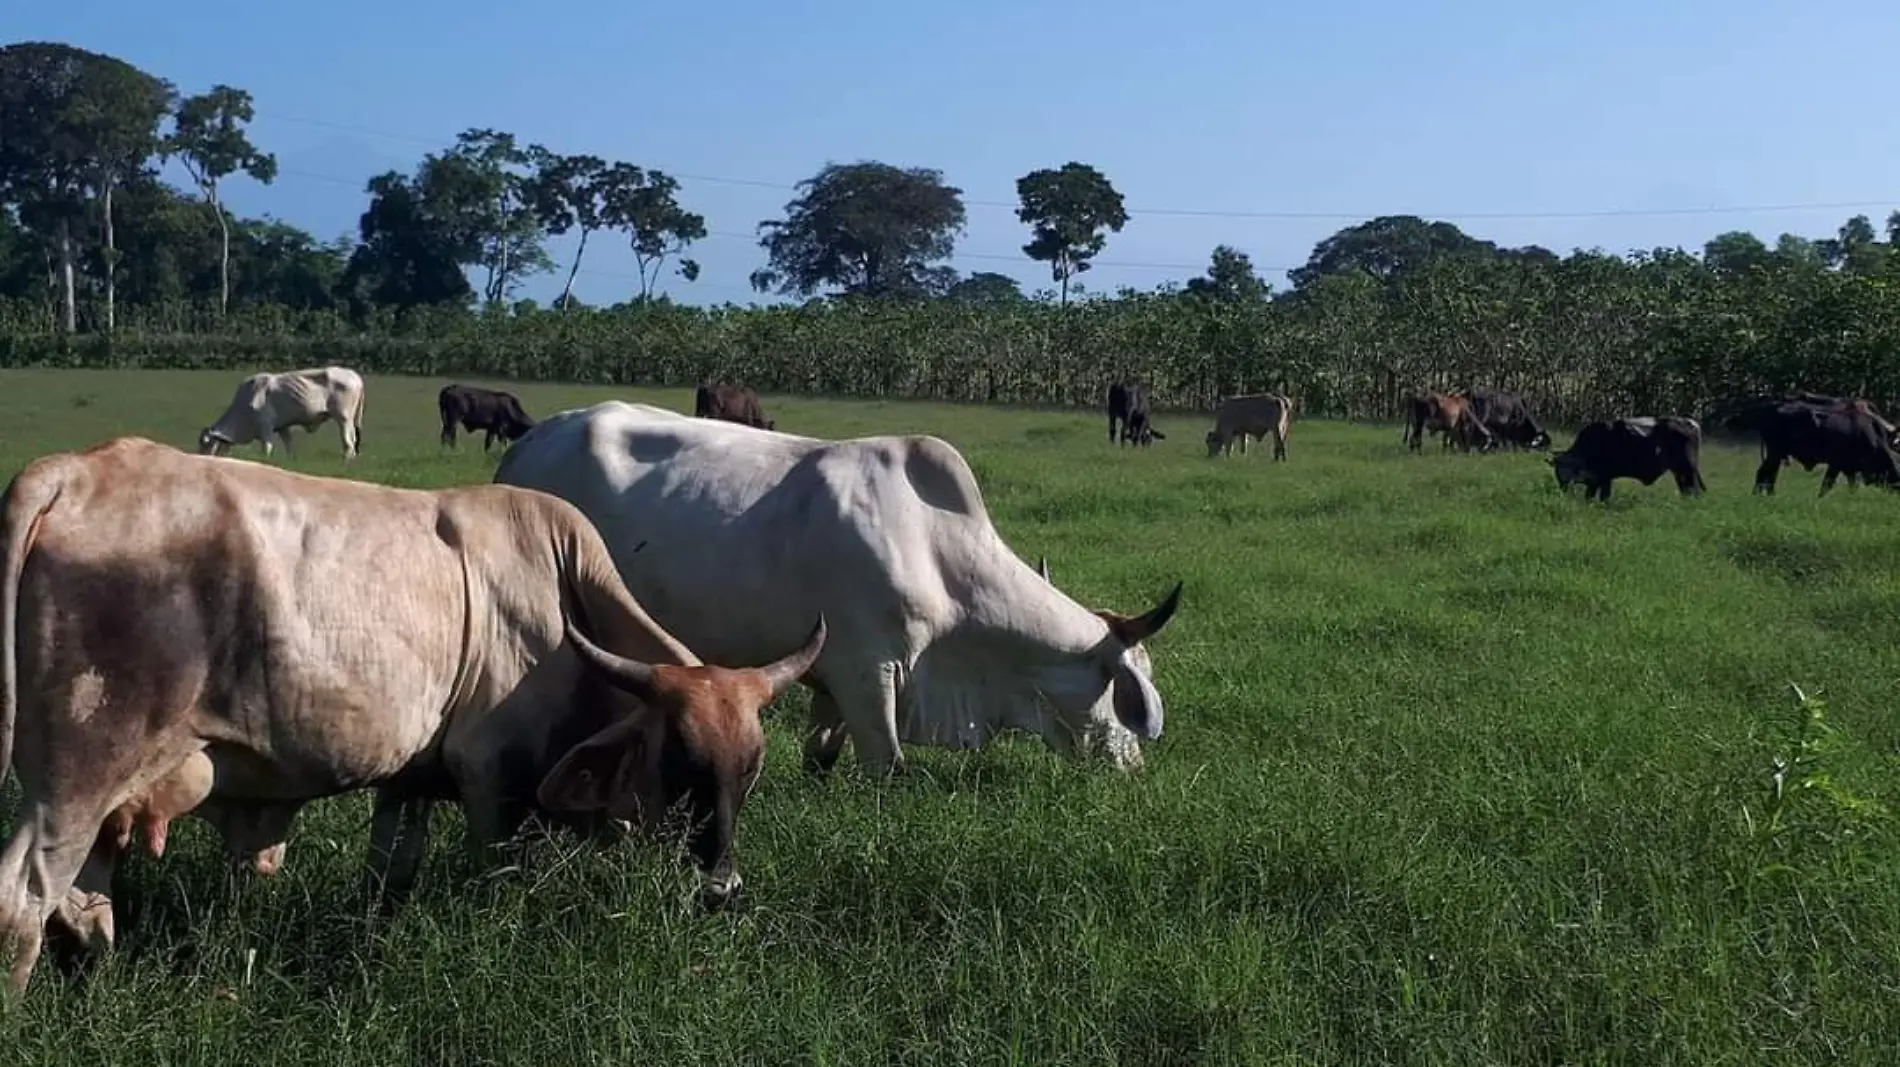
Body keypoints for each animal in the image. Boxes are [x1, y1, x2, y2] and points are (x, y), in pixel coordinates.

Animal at [0, 436, 824, 994]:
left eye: (750, 771)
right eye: (680, 762)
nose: (722, 890)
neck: (566, 600)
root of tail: (71, 470)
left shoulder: (408, 782)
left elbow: (389, 876)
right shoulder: (493, 784)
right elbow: (500, 877)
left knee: (84, 905)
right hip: (78, 778)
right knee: (24, 901)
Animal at [197, 364, 366, 457]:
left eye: (206, 444)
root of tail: (355, 376)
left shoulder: (266, 428)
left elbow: (267, 450)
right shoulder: (283, 428)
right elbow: (290, 449)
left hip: (344, 419)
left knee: (348, 445)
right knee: (353, 442)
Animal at [490, 398, 1178, 770]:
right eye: (1125, 692)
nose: (1134, 766)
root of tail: (526, 443)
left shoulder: (834, 679)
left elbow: (821, 754)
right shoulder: (867, 671)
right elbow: (888, 765)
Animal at [1542, 413, 1710, 501]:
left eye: (1564, 469)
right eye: (1557, 470)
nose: (1563, 488)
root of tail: (1691, 422)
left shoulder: (1604, 477)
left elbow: (1603, 496)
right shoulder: (1597, 480)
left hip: (1687, 469)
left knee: (1692, 489)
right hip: (1680, 472)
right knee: (1686, 489)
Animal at [1725, 396, 1900, 493]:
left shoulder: (1849, 468)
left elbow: (1851, 486)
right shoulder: (1837, 465)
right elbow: (1827, 486)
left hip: (1776, 455)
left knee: (1767, 475)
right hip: (1775, 453)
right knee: (1765, 474)